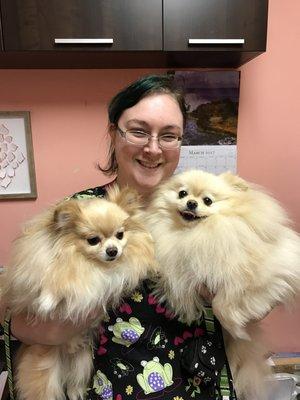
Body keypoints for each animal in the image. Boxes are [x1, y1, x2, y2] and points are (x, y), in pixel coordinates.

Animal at [0, 186, 155, 400]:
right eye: (93, 240)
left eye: (120, 235)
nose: (113, 250)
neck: (89, 264)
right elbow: (54, 282)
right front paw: (47, 301)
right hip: (45, 373)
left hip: (82, 364)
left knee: (74, 385)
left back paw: (75, 393)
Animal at [144, 170, 298, 400]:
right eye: (182, 194)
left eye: (207, 200)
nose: (191, 203)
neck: (199, 234)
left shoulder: (259, 271)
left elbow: (223, 303)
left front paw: (235, 325)